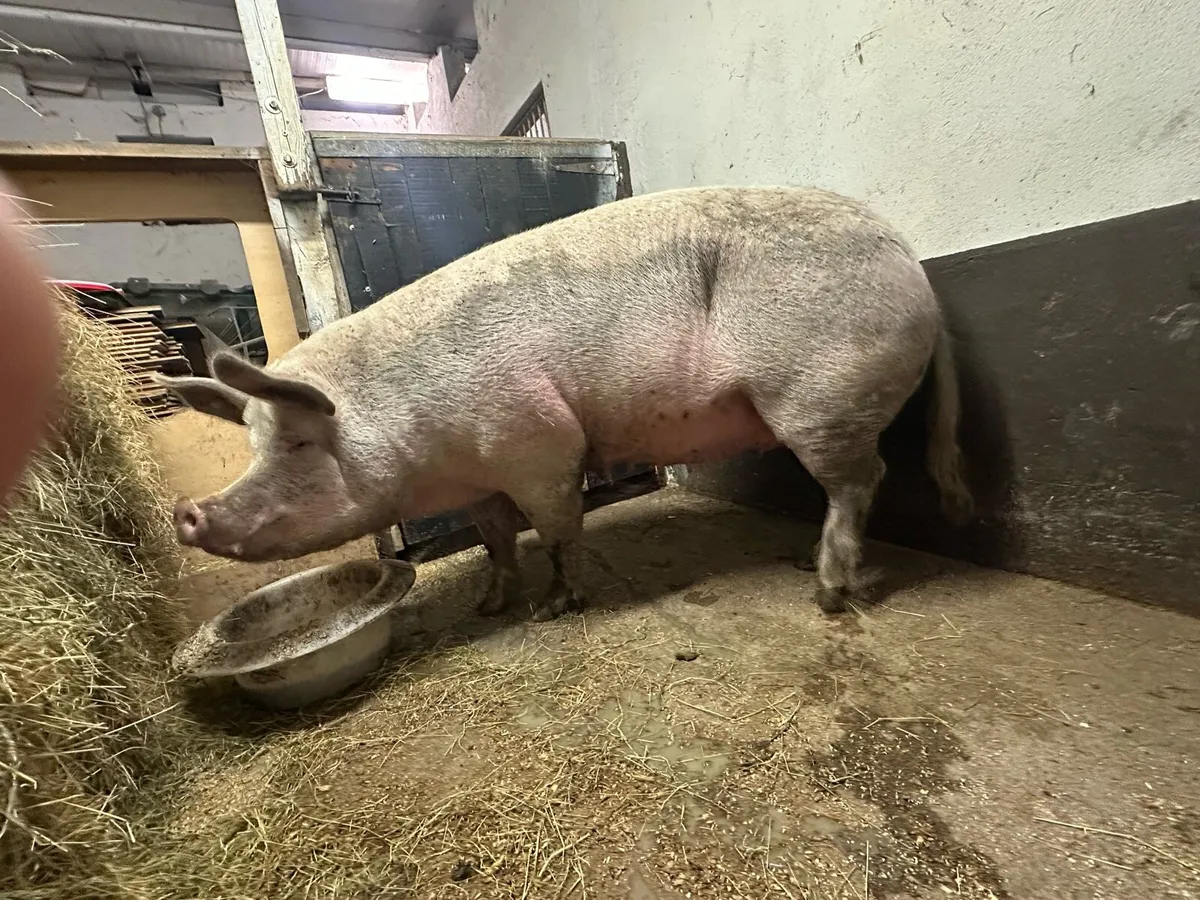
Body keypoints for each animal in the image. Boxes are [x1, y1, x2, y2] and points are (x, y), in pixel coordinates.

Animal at [157, 186, 972, 620]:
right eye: (251, 442)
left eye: (296, 441)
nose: (188, 511)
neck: (418, 436)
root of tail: (912, 266)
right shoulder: (480, 477)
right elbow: (494, 539)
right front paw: (489, 606)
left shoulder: (538, 443)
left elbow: (556, 529)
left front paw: (555, 606)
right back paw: (814, 571)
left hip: (822, 397)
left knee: (860, 482)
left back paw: (829, 592)